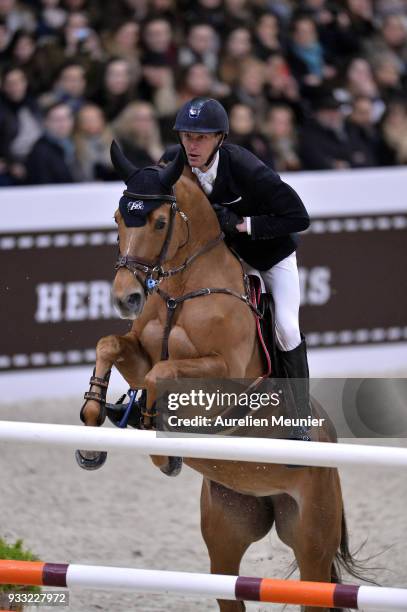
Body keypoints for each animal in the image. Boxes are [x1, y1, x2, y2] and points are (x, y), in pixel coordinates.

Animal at [78, 143, 358, 612]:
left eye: (159, 222)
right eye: (118, 219)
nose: (126, 298)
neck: (183, 290)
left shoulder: (225, 377)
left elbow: (163, 372)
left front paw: (160, 442)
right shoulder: (139, 353)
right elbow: (111, 346)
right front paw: (94, 424)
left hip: (312, 538)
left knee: (315, 585)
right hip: (227, 529)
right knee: (230, 585)